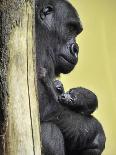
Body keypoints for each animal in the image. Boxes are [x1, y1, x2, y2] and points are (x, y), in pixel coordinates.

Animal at [35, 0, 106, 155]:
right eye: (70, 28)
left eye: (76, 31)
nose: (76, 49)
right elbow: (45, 106)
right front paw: (96, 132)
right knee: (49, 129)